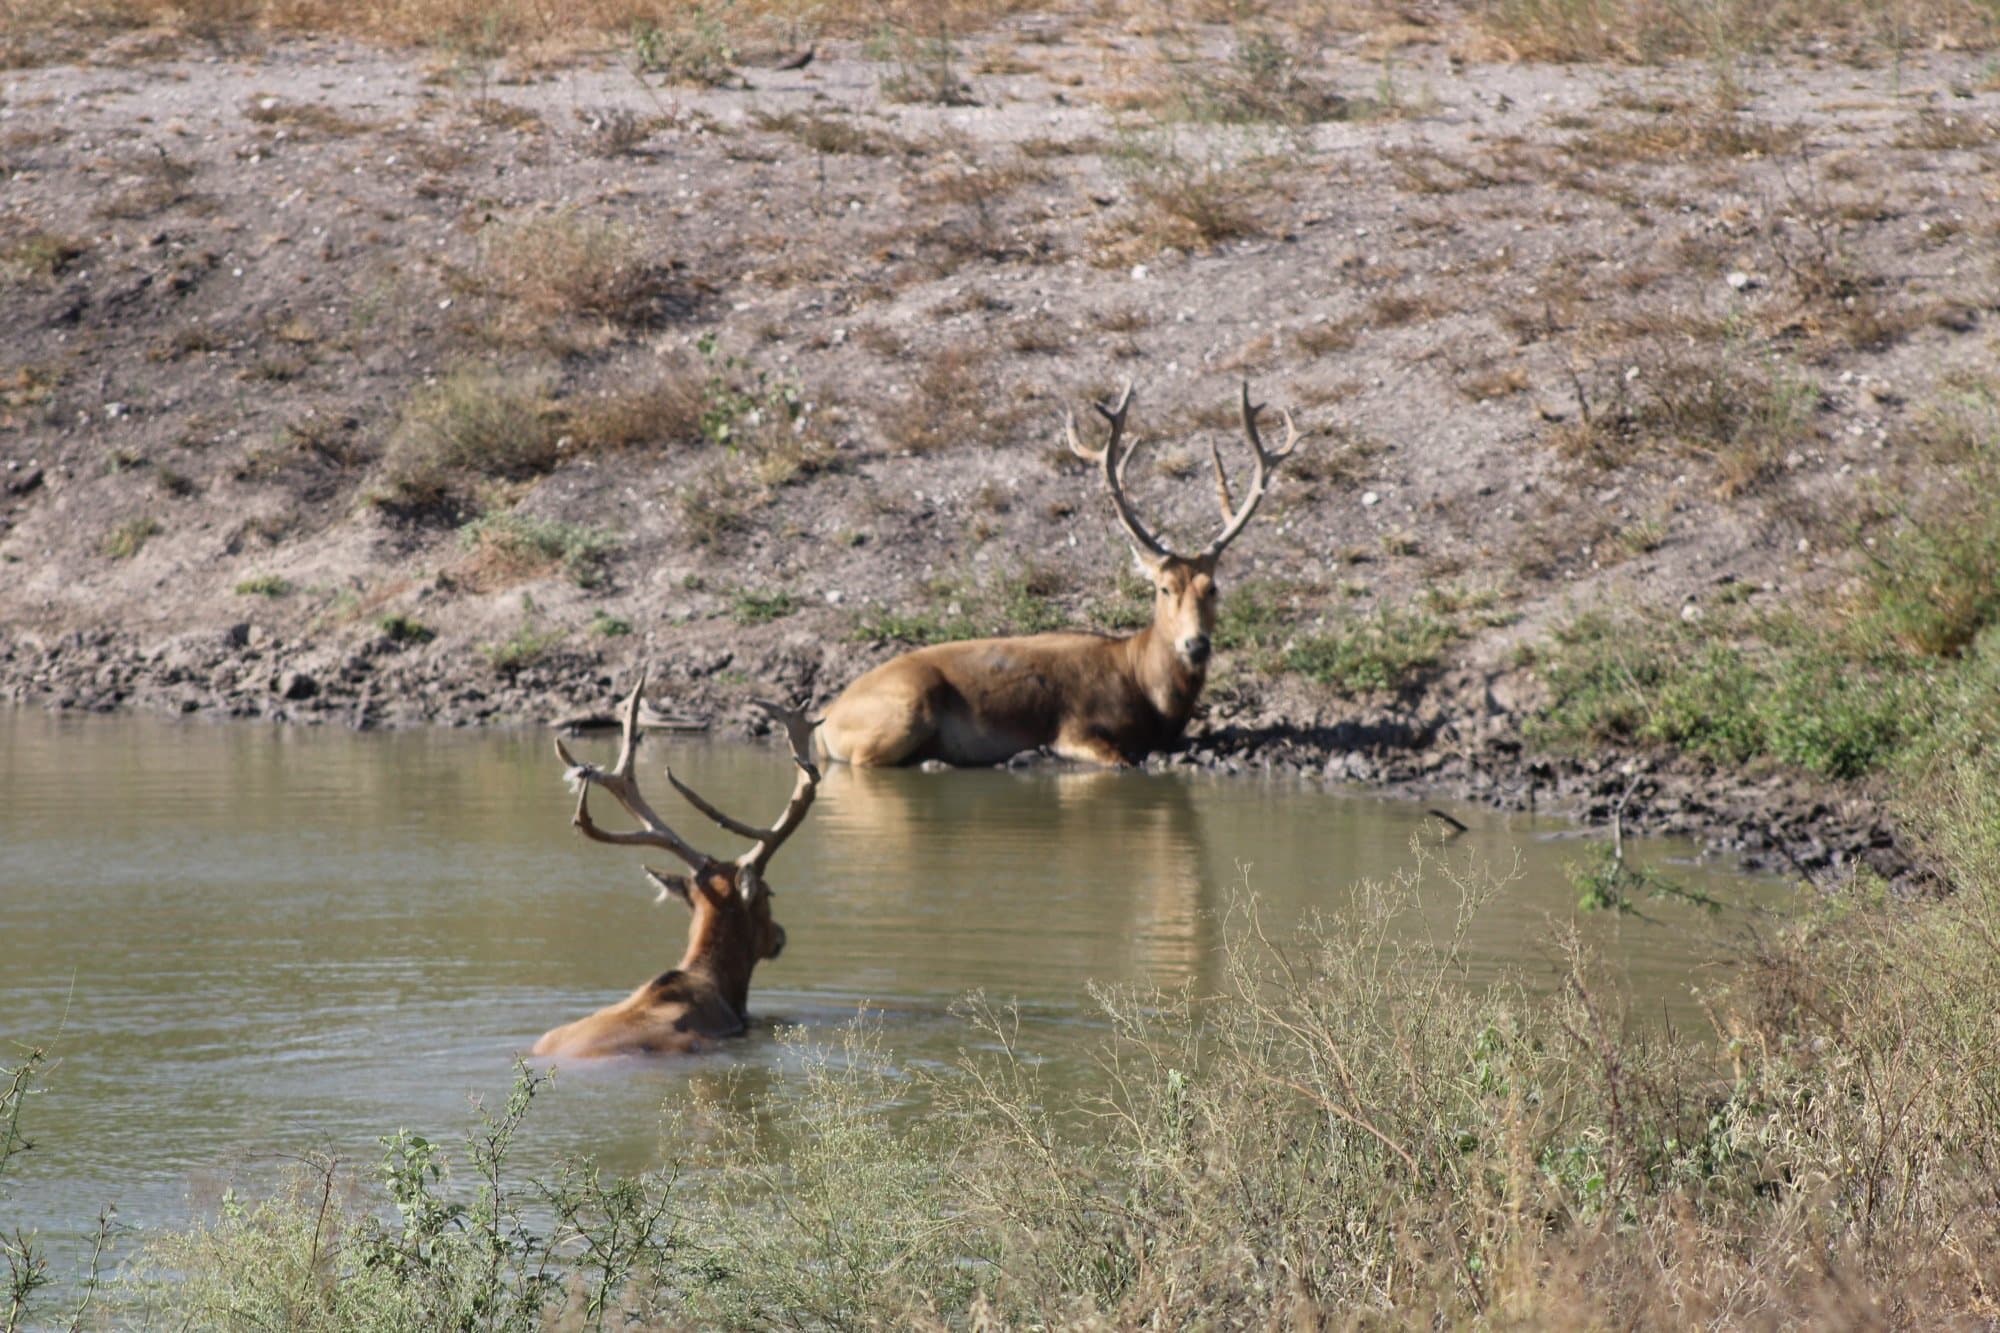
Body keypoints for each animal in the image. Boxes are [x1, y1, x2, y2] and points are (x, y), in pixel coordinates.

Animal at [816, 381, 1300, 768]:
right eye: (1164, 588)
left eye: (1212, 587)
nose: (1196, 644)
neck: (1148, 691)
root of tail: (825, 722)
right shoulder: (1075, 727)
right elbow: (1119, 761)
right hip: (905, 707)